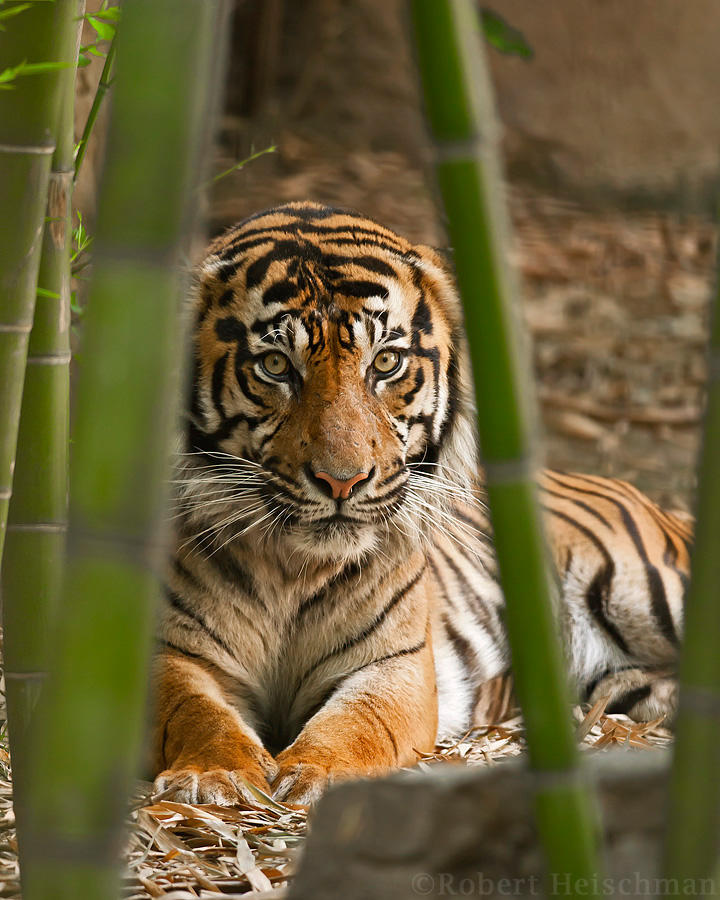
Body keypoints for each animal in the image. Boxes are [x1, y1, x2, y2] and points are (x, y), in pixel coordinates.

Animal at [150, 204, 692, 808]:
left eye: (386, 362)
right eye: (274, 366)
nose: (341, 482)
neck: (292, 570)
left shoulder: (395, 666)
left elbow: (359, 722)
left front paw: (317, 772)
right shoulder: (168, 654)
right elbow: (197, 714)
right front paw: (214, 776)